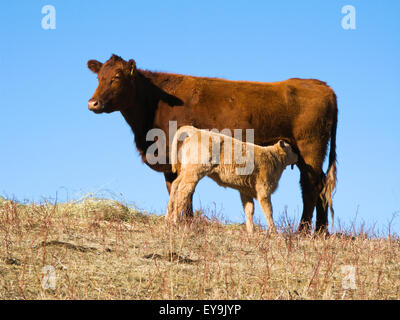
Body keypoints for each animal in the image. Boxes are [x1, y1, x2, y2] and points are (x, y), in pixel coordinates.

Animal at [165, 126, 296, 234]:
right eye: (292, 149)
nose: (297, 157)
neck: (273, 157)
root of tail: (196, 131)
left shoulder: (245, 190)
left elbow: (249, 210)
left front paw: (251, 232)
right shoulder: (264, 189)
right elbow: (268, 211)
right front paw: (274, 232)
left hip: (186, 171)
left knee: (175, 185)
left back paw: (168, 218)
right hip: (194, 173)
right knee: (183, 191)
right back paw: (175, 220)